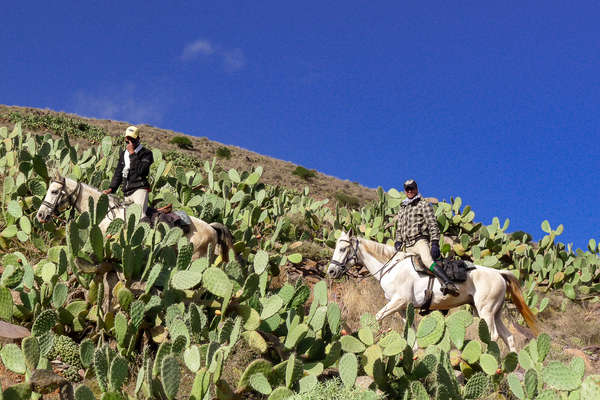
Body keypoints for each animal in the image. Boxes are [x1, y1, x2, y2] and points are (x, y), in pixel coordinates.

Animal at [328, 231, 540, 350]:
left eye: (342, 249)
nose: (331, 271)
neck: (391, 267)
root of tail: (499, 273)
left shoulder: (398, 302)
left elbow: (376, 318)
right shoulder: (402, 309)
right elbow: (411, 335)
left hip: (485, 311)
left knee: (493, 336)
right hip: (496, 312)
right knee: (508, 337)